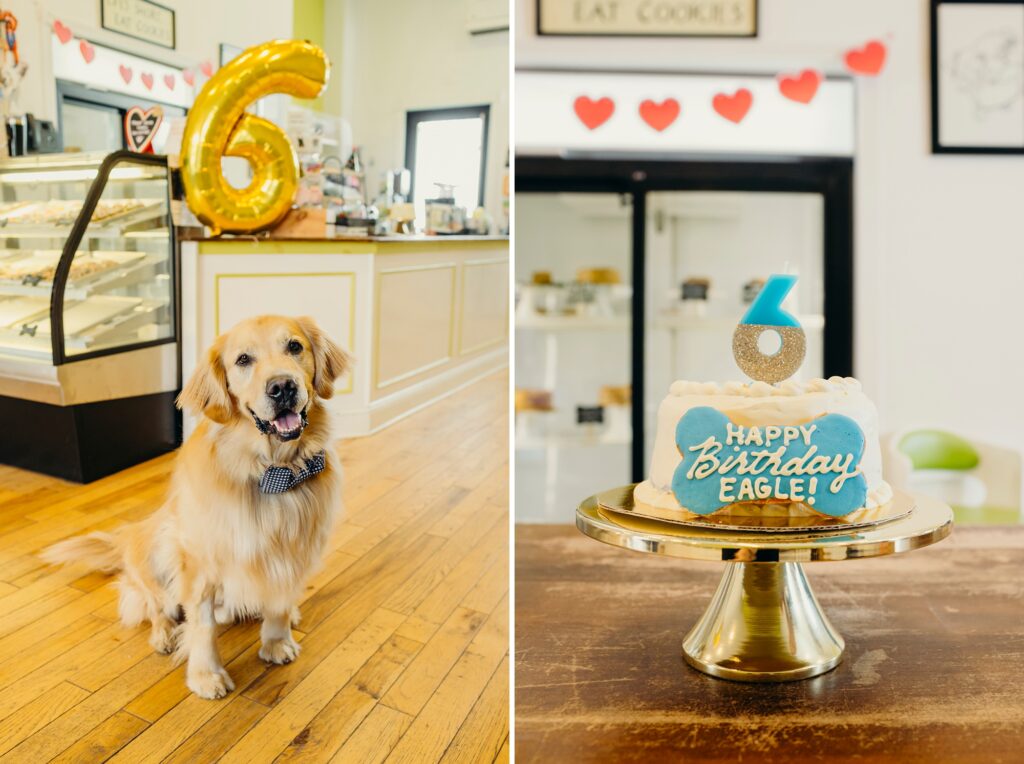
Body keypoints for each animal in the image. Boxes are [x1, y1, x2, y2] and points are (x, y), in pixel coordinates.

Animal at [44, 313, 350, 696]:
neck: (273, 471)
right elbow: (201, 626)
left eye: (295, 346)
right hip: (157, 547)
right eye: (243, 360)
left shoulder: (293, 552)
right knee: (154, 605)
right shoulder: (200, 561)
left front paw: (277, 641)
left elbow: (277, 602)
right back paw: (164, 635)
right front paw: (206, 676)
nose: (282, 387)